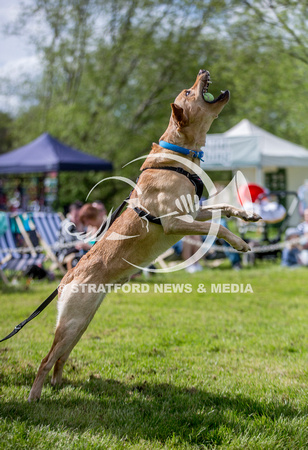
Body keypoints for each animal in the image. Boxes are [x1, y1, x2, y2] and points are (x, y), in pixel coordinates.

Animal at [28, 69, 260, 400]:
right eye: (188, 92)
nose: (202, 71)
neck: (178, 157)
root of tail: (67, 275)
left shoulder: (194, 211)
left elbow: (223, 210)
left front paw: (248, 215)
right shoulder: (176, 222)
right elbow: (218, 227)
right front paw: (239, 242)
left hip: (81, 322)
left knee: (61, 357)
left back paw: (59, 385)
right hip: (73, 321)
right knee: (46, 359)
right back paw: (35, 397)